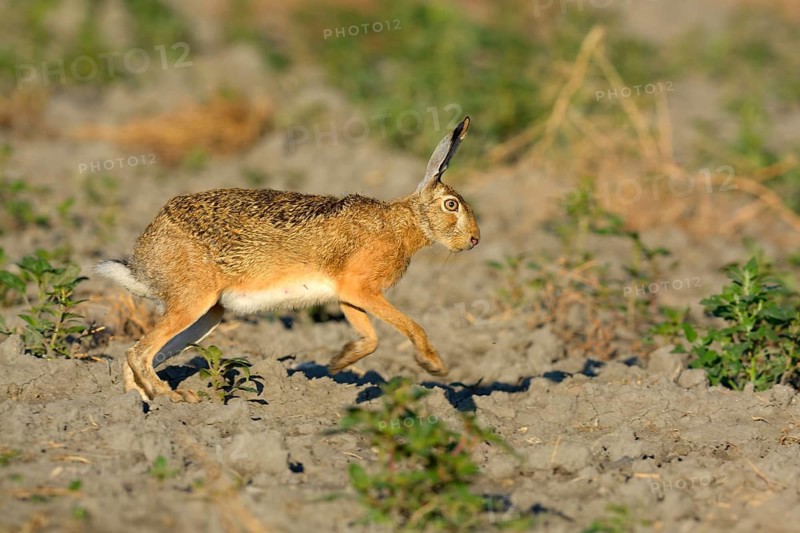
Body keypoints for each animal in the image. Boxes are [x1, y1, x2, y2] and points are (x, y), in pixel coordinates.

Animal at [95, 116, 480, 403]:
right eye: (451, 205)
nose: (475, 240)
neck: (404, 224)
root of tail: (144, 258)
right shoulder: (361, 290)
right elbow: (410, 326)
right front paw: (434, 367)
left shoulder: (349, 295)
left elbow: (370, 338)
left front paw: (338, 362)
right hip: (193, 301)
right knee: (139, 352)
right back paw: (170, 397)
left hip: (207, 315)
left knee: (144, 353)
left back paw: (136, 402)